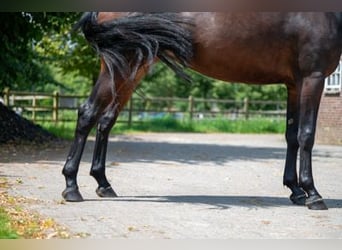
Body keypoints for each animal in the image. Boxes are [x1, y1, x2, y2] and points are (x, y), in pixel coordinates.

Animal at [62, 12, 342, 210]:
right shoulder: (313, 78)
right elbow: (307, 135)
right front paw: (313, 194)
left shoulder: (294, 84)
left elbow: (292, 136)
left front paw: (296, 190)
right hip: (122, 66)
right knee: (88, 113)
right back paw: (71, 187)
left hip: (130, 69)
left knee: (106, 120)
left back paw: (103, 183)